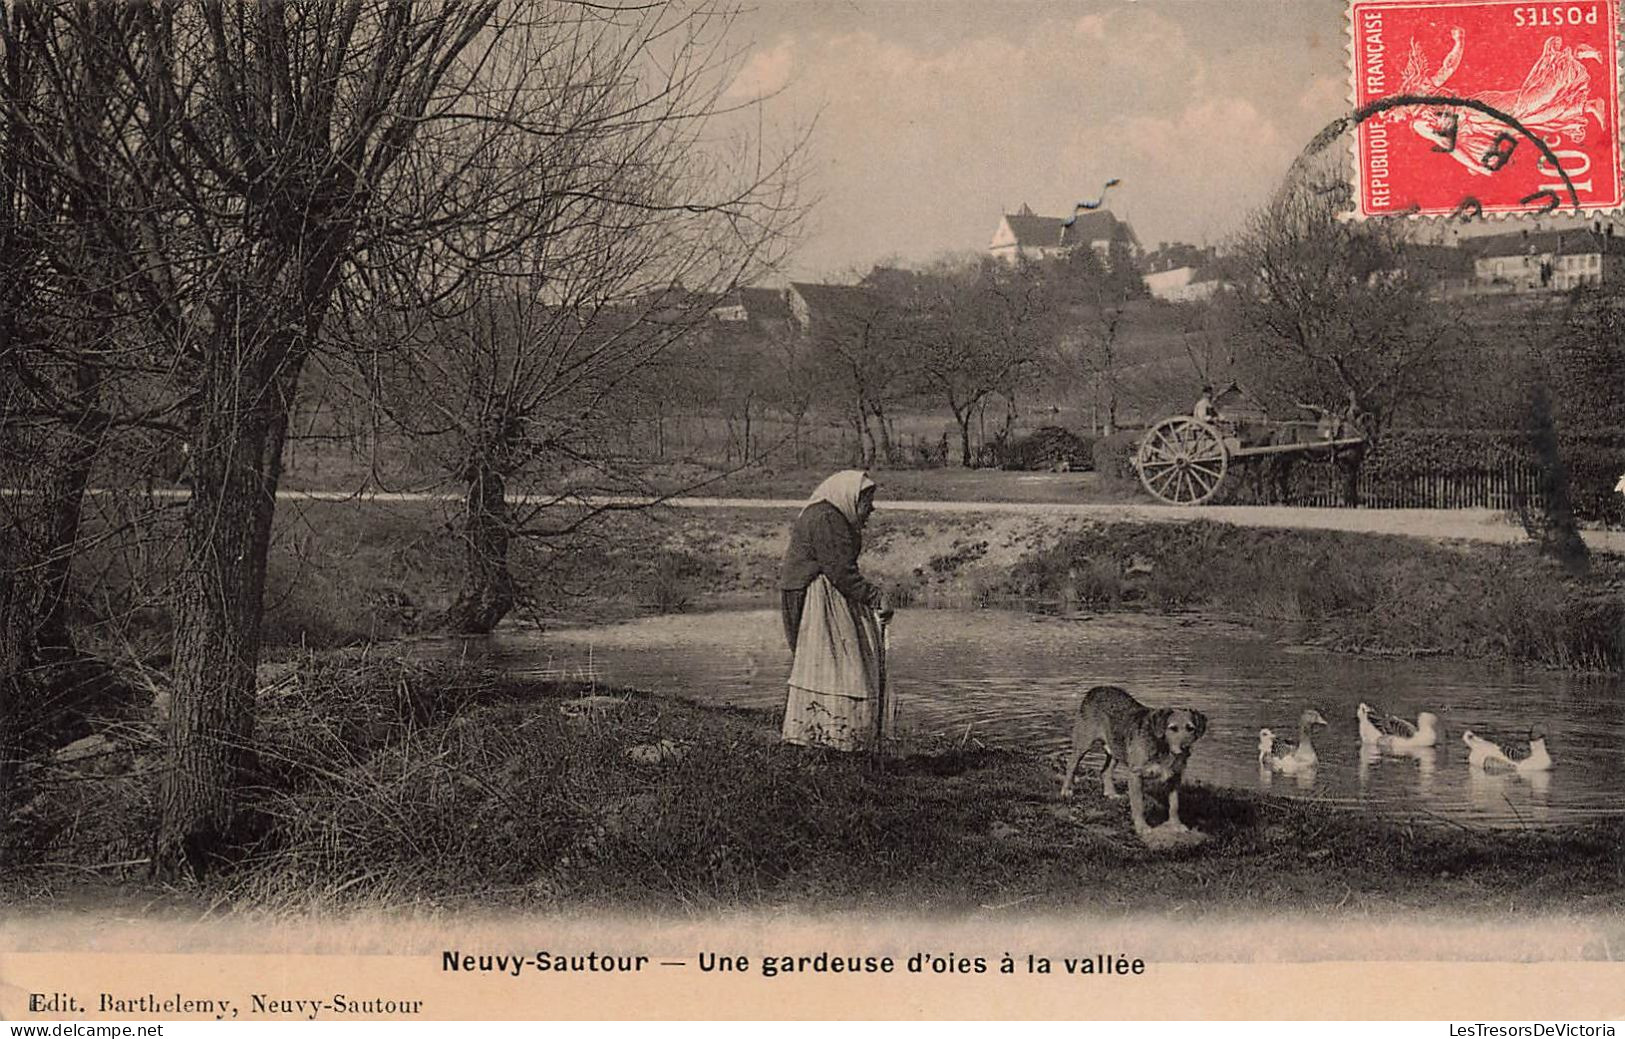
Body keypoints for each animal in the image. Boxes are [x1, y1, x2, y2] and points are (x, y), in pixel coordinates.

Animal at [1053, 682, 1209, 839]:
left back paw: (1110, 793)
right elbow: (1139, 805)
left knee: (1105, 771)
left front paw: (1176, 824)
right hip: (1083, 743)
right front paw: (1142, 827)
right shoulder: (1136, 775)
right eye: (1173, 728)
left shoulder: (1175, 777)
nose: (1185, 748)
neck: (1162, 746)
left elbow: (1175, 805)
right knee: (1071, 765)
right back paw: (1066, 791)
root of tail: (1097, 688)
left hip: (1115, 750)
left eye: (1190, 728)